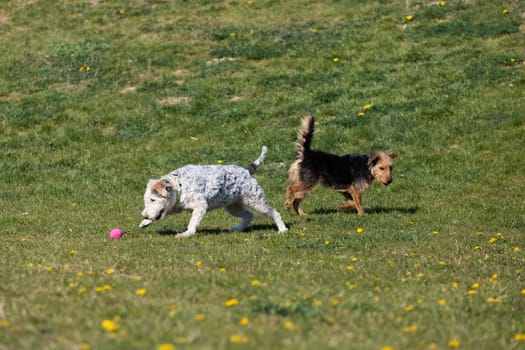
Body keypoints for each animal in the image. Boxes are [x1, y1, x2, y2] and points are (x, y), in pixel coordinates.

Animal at [139, 145, 286, 238]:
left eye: (152, 199)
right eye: (147, 200)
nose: (144, 215)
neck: (180, 185)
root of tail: (247, 171)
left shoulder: (200, 206)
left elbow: (192, 222)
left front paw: (186, 234)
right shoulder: (176, 206)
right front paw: (144, 222)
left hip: (256, 200)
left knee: (274, 213)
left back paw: (283, 229)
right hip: (233, 206)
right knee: (249, 215)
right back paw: (237, 228)